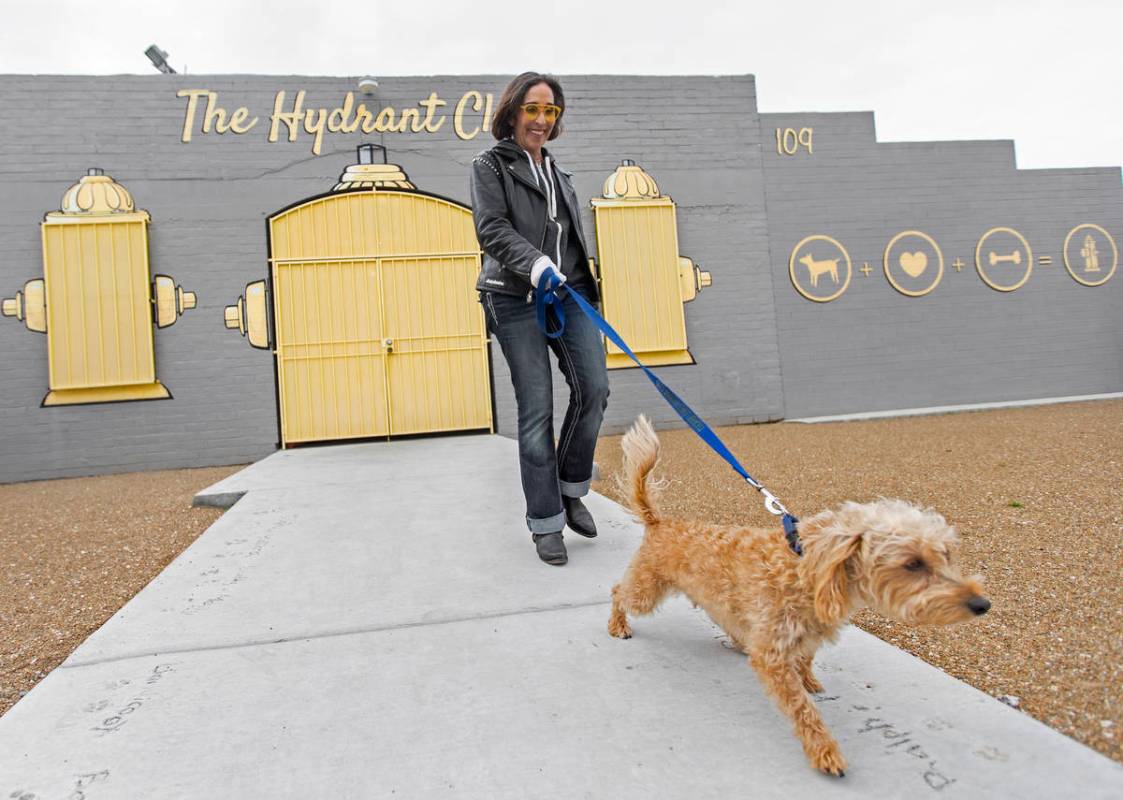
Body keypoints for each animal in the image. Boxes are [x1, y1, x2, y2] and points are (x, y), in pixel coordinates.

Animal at [606, 415, 992, 777]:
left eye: (947, 554)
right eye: (912, 563)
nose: (982, 604)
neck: (810, 573)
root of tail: (660, 522)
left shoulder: (805, 634)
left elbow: (807, 659)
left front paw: (809, 679)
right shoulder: (774, 654)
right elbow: (803, 709)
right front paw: (825, 751)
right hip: (646, 590)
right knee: (618, 591)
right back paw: (617, 625)